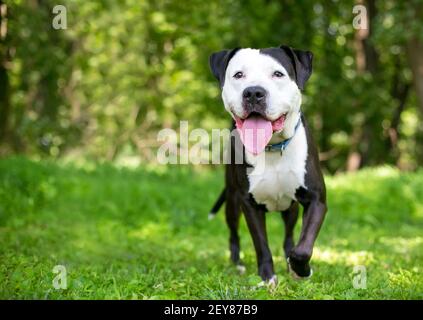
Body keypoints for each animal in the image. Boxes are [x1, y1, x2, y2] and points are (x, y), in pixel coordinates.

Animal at [209, 45, 328, 284]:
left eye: (278, 74)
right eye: (238, 75)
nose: (254, 92)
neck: (272, 147)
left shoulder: (316, 200)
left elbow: (303, 247)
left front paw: (301, 269)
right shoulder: (249, 204)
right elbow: (261, 245)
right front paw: (267, 277)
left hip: (290, 208)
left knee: (290, 235)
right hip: (232, 202)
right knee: (233, 234)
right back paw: (237, 263)